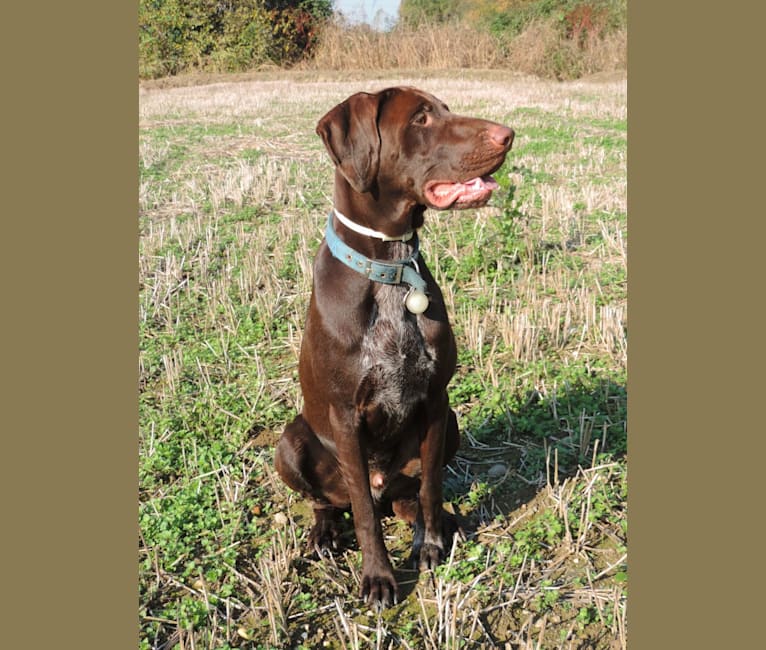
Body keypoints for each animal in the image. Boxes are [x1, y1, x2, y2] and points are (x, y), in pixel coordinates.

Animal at [276, 83, 516, 604]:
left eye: (445, 110)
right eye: (421, 119)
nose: (508, 134)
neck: (391, 268)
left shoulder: (436, 401)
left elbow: (431, 487)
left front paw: (431, 543)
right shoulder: (345, 416)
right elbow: (365, 515)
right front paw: (379, 577)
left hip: (451, 424)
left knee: (409, 497)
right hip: (290, 441)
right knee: (333, 501)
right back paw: (324, 531)